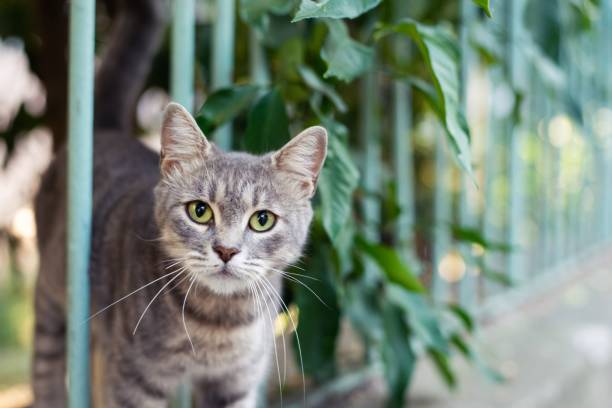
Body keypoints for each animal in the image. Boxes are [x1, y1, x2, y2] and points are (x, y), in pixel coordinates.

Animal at [31, 0, 328, 404]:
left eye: (262, 219)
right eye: (199, 211)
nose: (226, 250)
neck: (218, 324)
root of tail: (106, 131)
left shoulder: (236, 384)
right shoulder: (133, 381)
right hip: (52, 306)